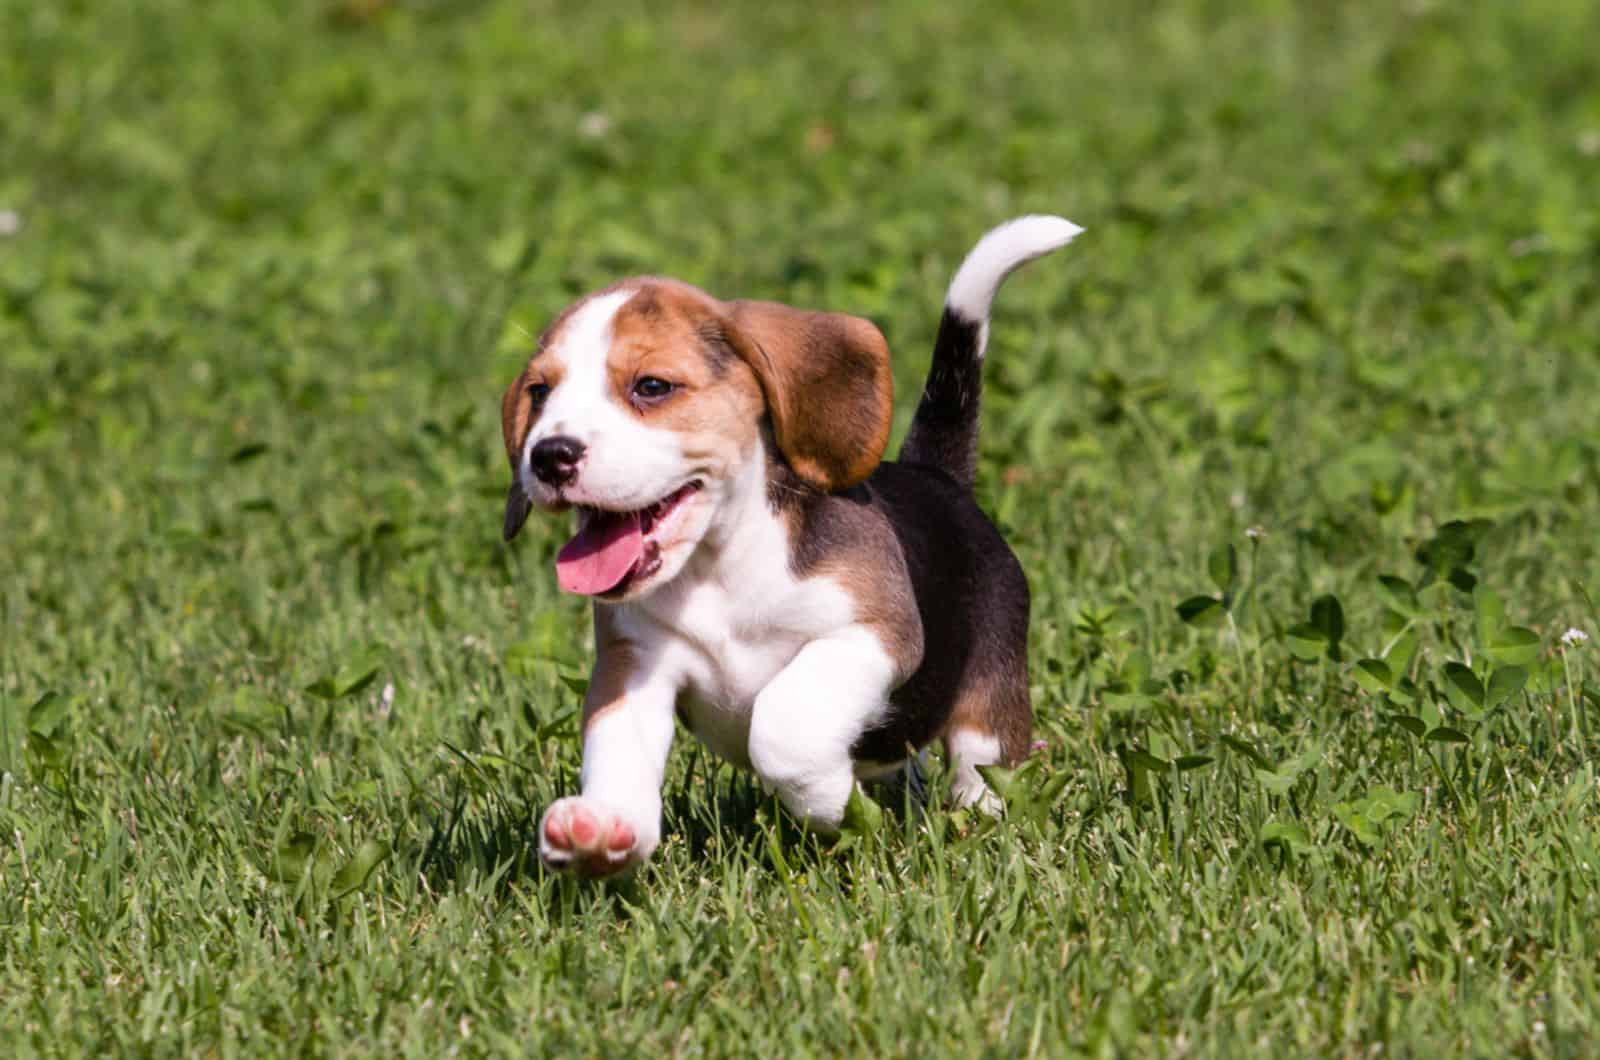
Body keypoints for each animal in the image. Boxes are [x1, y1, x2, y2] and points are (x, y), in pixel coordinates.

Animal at [492, 216, 1081, 877]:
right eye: (539, 393)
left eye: (651, 387)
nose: (550, 455)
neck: (720, 566)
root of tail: (936, 476)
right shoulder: (634, 664)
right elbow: (618, 745)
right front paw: (602, 827)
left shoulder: (873, 632)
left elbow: (783, 724)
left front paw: (832, 804)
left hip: (989, 707)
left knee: (982, 771)